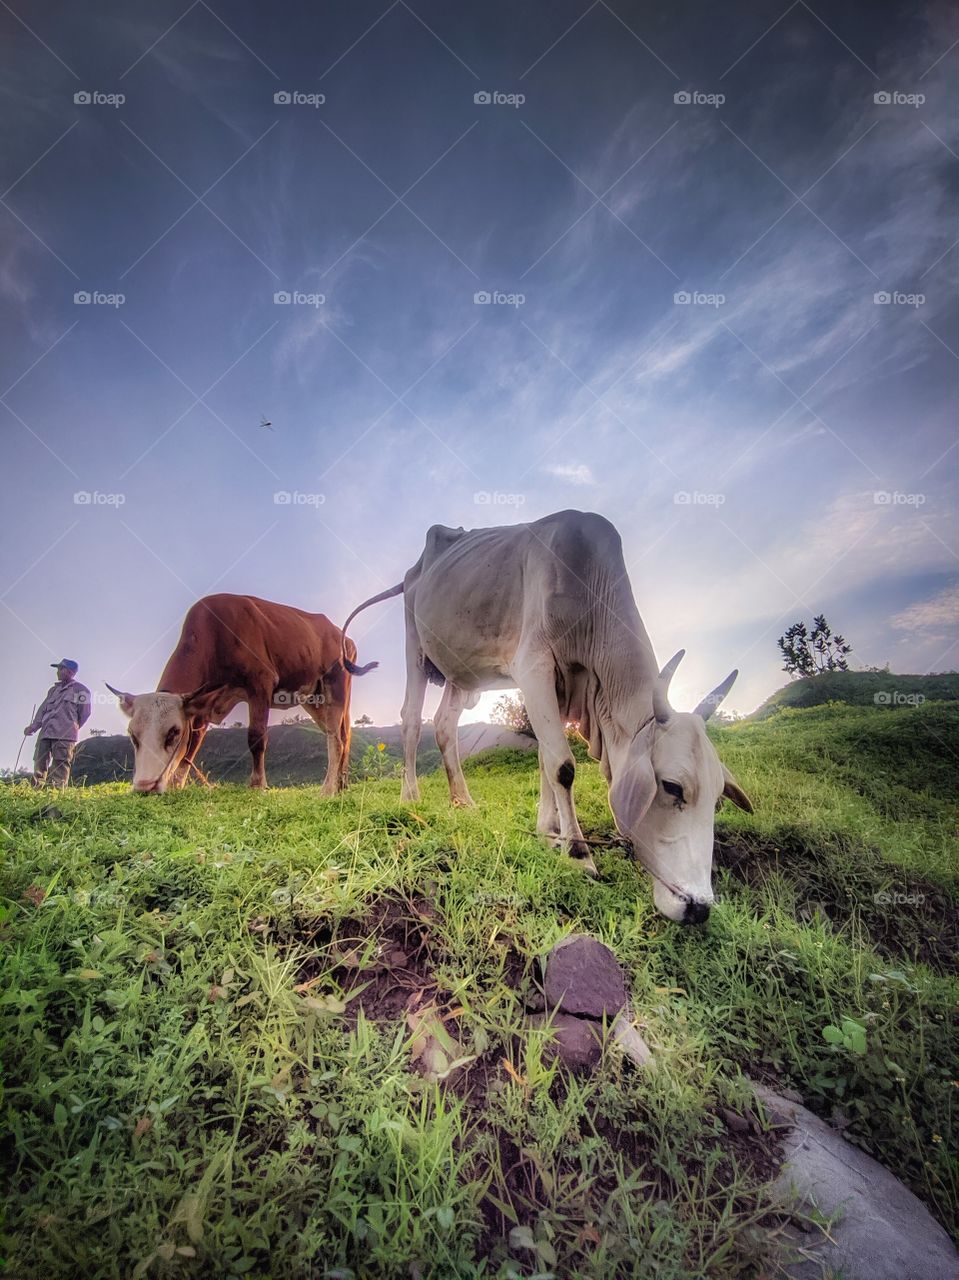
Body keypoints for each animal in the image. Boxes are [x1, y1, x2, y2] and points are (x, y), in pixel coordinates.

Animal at [107, 593, 377, 795]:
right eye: (133, 735)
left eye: (173, 732)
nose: (145, 786)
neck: (215, 633)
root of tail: (341, 634)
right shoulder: (202, 706)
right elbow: (193, 745)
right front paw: (177, 784)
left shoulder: (261, 682)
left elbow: (256, 737)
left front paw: (258, 785)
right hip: (313, 696)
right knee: (344, 733)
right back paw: (342, 784)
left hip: (336, 684)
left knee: (336, 737)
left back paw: (328, 789)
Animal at [341, 510, 752, 924]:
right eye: (672, 787)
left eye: (718, 799)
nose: (699, 906)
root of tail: (414, 570)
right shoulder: (534, 668)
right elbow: (562, 766)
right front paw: (579, 854)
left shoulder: (561, 688)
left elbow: (545, 761)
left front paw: (549, 833)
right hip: (416, 648)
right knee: (411, 719)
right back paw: (410, 796)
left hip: (461, 671)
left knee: (444, 726)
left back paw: (463, 801)